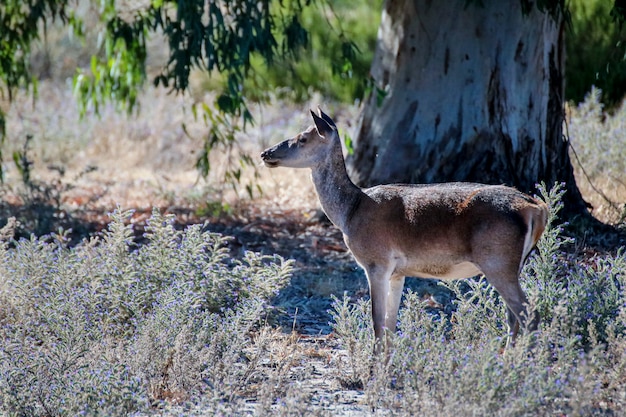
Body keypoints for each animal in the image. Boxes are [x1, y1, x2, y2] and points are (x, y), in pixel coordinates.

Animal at [258, 107, 544, 352]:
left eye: (303, 138)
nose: (266, 153)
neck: (350, 212)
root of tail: (536, 208)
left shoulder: (377, 262)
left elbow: (377, 322)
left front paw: (373, 370)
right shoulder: (398, 272)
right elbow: (390, 324)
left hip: (497, 260)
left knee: (529, 313)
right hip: (512, 264)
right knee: (514, 315)